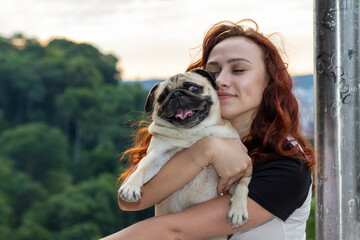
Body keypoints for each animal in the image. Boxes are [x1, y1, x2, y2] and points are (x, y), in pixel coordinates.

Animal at [118, 70, 250, 238]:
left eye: (193, 88)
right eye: (162, 97)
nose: (176, 94)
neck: (193, 133)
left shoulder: (241, 168)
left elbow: (242, 185)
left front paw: (238, 210)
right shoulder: (156, 155)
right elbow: (141, 169)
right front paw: (130, 187)